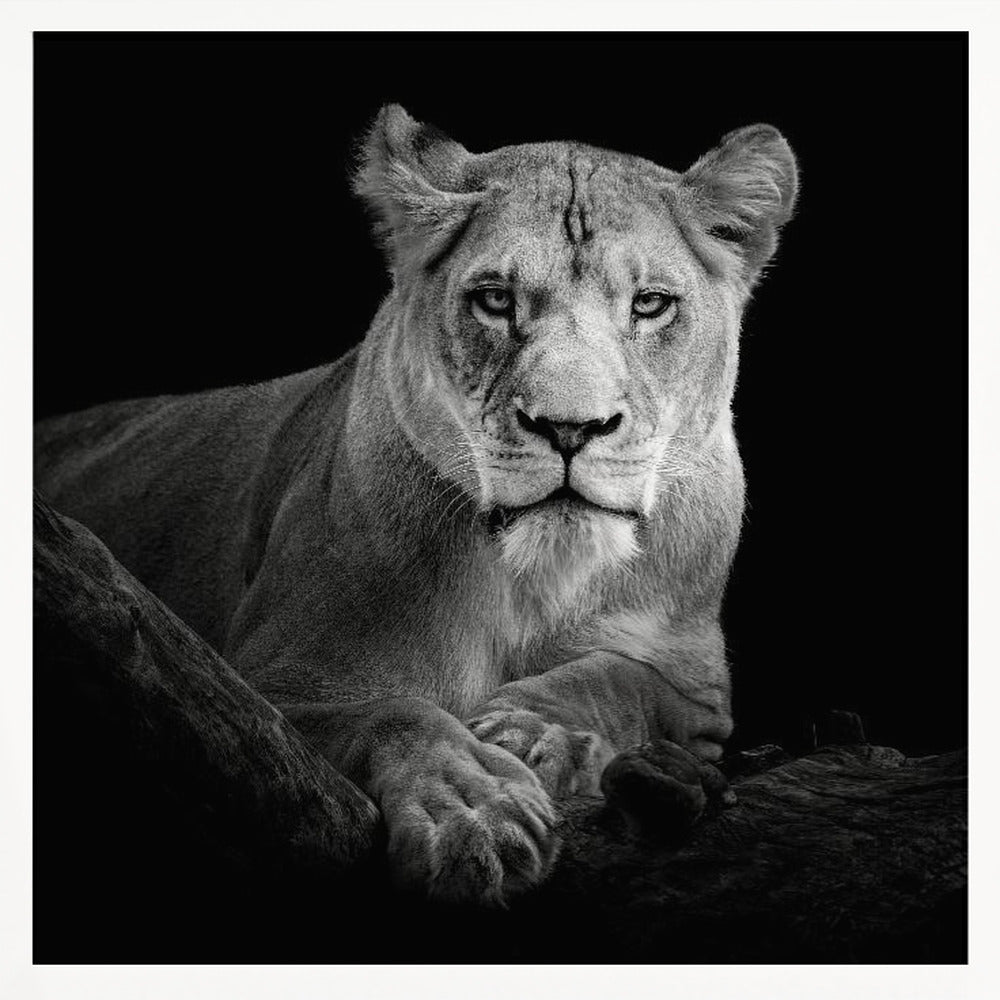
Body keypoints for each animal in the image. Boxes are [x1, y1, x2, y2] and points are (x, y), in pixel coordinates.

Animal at [34, 105, 797, 905]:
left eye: (650, 305)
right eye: (495, 299)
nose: (569, 428)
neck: (535, 580)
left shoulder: (698, 688)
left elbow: (620, 678)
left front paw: (533, 733)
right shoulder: (260, 693)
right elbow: (396, 713)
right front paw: (474, 811)